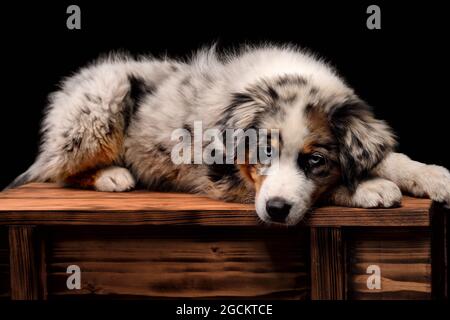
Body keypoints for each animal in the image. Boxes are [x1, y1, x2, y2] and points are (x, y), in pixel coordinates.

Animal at [7, 44, 450, 225]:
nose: (276, 211)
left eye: (315, 160)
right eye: (263, 154)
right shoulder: (222, 180)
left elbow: (390, 157)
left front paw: (433, 177)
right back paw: (112, 176)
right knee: (57, 172)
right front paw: (371, 188)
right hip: (100, 103)